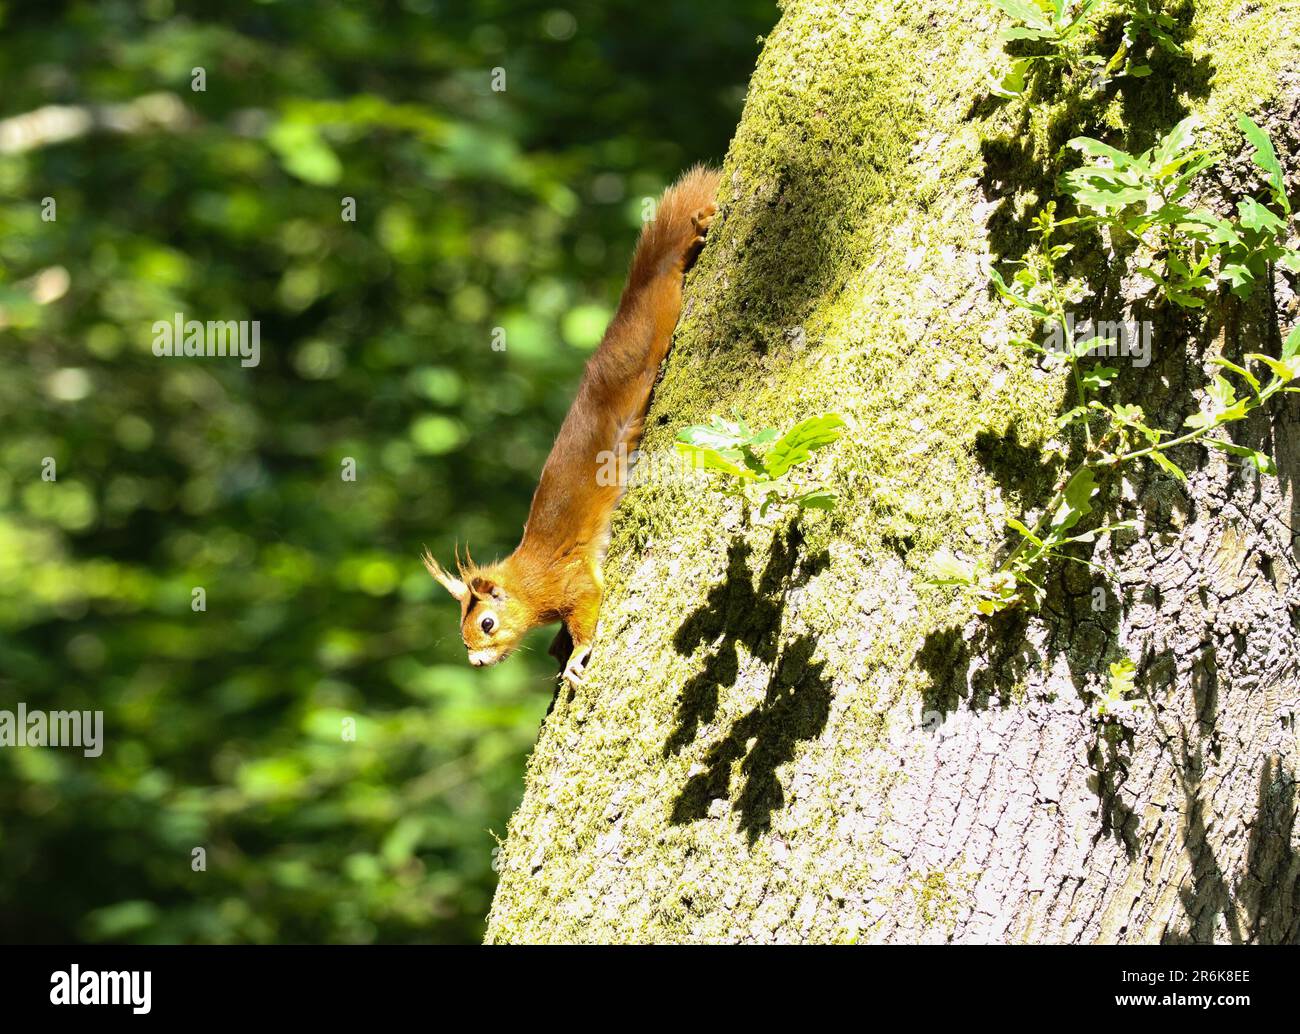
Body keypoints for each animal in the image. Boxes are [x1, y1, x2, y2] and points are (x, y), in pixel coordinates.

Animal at [423, 165, 722, 686]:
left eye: (487, 623)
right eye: (462, 633)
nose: (476, 661)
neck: (526, 579)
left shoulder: (568, 580)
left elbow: (587, 607)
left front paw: (577, 655)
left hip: (660, 315)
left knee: (670, 274)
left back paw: (696, 233)